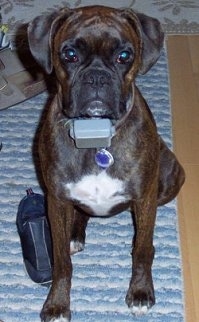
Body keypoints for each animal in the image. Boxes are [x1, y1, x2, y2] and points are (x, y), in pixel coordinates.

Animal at [28, 5, 185, 322]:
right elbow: (61, 262)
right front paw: (57, 305)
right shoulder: (56, 200)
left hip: (169, 178)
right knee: (80, 216)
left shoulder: (144, 198)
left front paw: (140, 292)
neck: (95, 134)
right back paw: (75, 235)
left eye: (124, 56)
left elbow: (141, 251)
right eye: (69, 54)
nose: (97, 77)